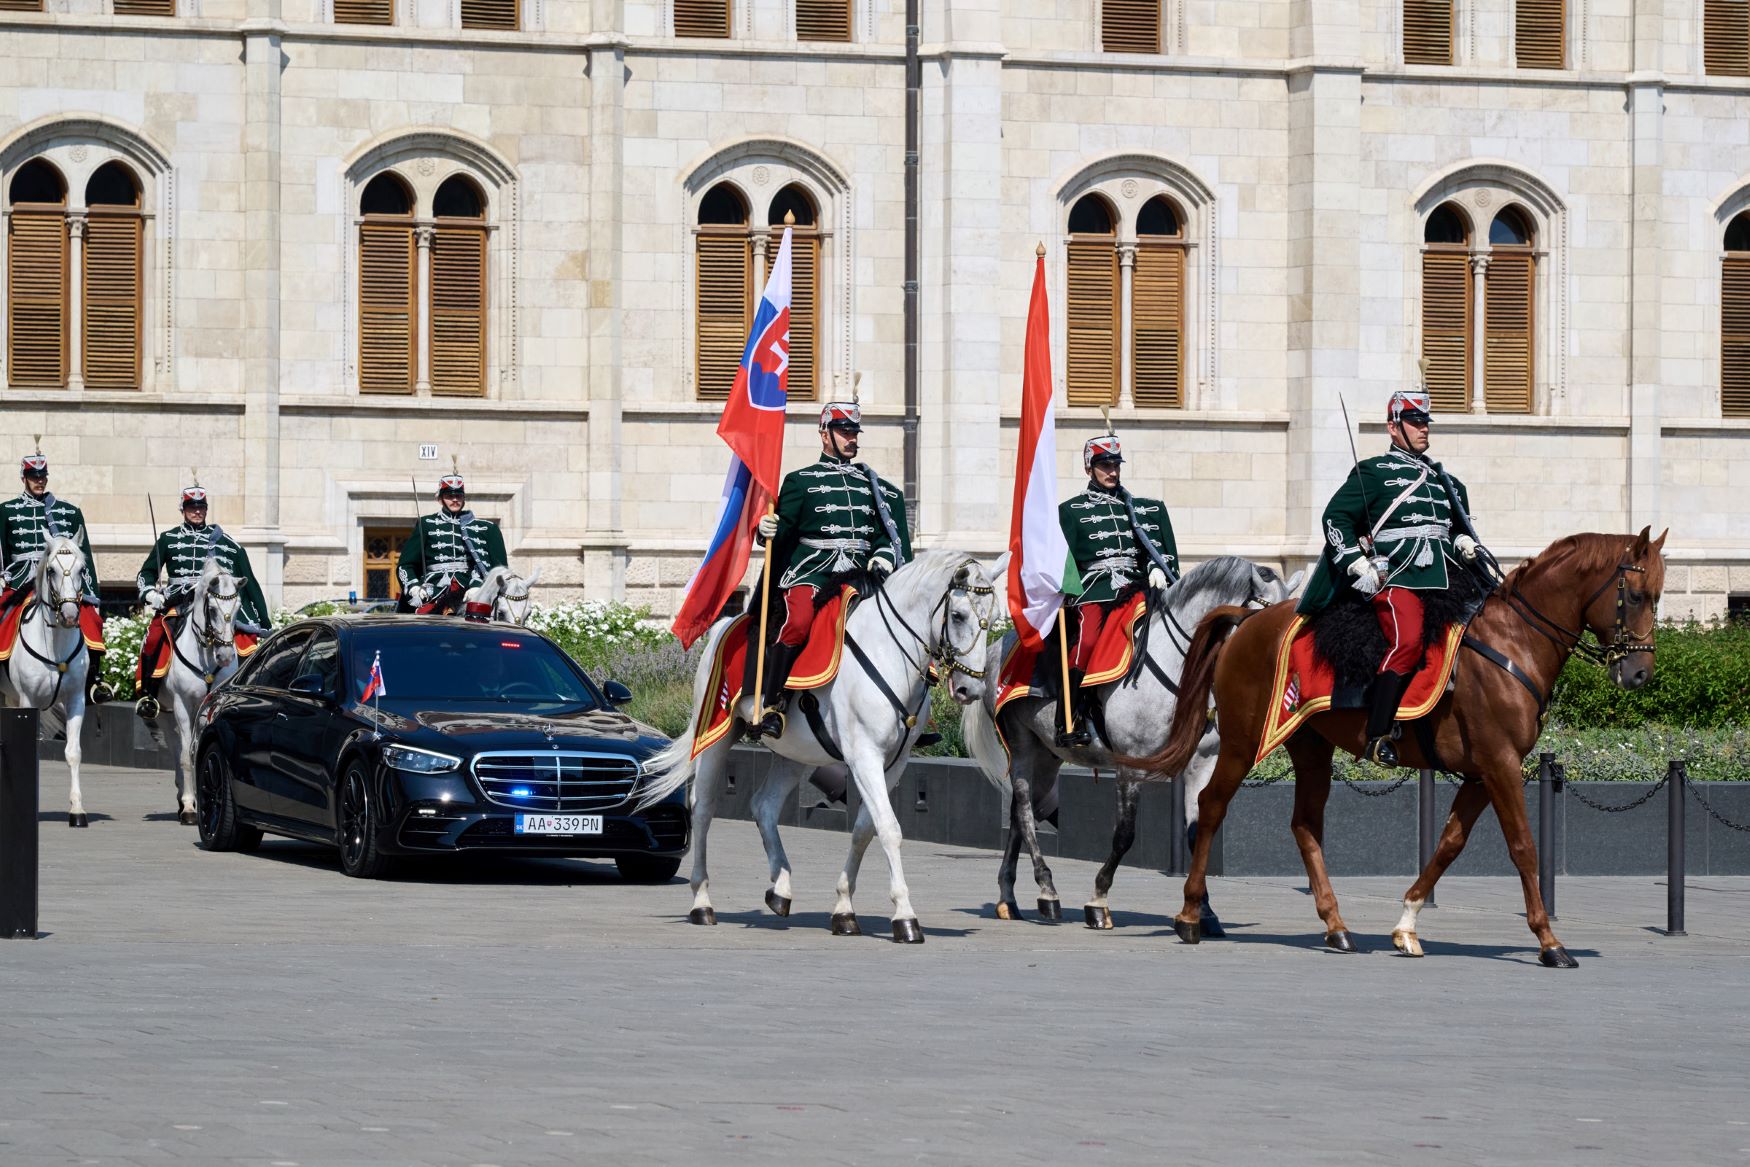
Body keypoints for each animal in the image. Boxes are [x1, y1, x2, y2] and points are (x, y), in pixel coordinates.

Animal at [0, 535, 96, 825]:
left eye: (82, 570)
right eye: (51, 570)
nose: (69, 616)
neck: (56, 646)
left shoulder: (75, 700)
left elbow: (73, 752)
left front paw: (77, 809)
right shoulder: (28, 701)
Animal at [149, 559, 246, 825]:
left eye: (238, 608)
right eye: (211, 609)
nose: (225, 656)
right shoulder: (181, 705)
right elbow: (185, 756)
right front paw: (189, 807)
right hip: (165, 713)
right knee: (175, 750)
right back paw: (182, 798)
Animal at [637, 552, 1008, 944]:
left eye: (996, 617)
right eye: (959, 615)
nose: (971, 689)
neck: (888, 652)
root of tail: (723, 624)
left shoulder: (894, 763)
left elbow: (864, 830)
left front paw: (844, 908)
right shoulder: (864, 756)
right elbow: (889, 828)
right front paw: (905, 915)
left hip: (794, 754)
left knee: (764, 805)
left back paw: (781, 887)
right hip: (715, 735)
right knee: (704, 808)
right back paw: (702, 901)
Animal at [959, 556, 1302, 930]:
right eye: (1265, 627)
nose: (1286, 684)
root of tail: (998, 645)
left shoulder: (1202, 764)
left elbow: (1198, 832)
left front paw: (1202, 911)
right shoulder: (1130, 765)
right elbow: (1124, 834)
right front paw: (1098, 899)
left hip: (1048, 753)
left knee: (1023, 812)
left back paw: (1009, 896)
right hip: (1022, 744)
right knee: (1022, 808)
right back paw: (1047, 890)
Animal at [1134, 528, 1666, 965]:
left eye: (1660, 596)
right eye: (1638, 595)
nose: (1640, 675)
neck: (1512, 642)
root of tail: (1246, 621)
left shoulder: (1481, 772)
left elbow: (1448, 844)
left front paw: (1407, 924)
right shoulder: (1501, 764)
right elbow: (1523, 847)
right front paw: (1549, 941)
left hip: (1310, 747)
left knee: (1305, 824)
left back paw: (1336, 926)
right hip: (1244, 742)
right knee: (1211, 806)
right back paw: (1191, 915)